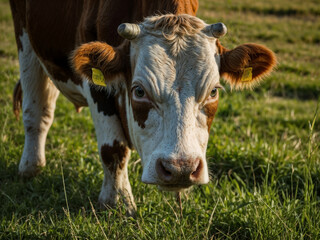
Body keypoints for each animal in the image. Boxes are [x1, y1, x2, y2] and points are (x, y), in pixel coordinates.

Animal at [9, 0, 276, 216]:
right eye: (139, 91)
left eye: (214, 91)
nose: (180, 169)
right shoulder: (97, 86)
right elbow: (113, 149)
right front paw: (117, 202)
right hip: (25, 37)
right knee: (37, 111)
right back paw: (30, 167)